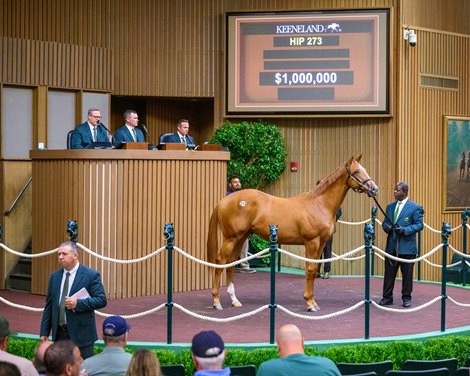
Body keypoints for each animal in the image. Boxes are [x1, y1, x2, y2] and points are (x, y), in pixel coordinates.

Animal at [206, 156, 378, 312]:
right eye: (357, 171)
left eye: (364, 169)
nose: (374, 188)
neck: (318, 204)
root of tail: (224, 201)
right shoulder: (312, 242)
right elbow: (310, 269)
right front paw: (309, 303)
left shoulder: (321, 243)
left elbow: (314, 269)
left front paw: (313, 301)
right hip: (231, 238)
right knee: (220, 262)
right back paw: (216, 301)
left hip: (241, 237)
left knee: (231, 263)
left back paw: (234, 300)